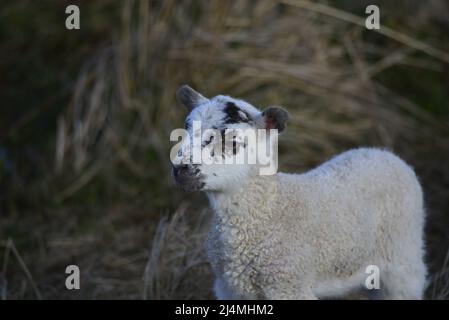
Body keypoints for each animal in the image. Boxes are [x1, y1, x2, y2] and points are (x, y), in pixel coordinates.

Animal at [170, 85, 426, 300]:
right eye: (186, 128)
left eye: (233, 141)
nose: (181, 169)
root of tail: (383, 153)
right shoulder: (230, 289)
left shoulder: (287, 284)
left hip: (403, 256)